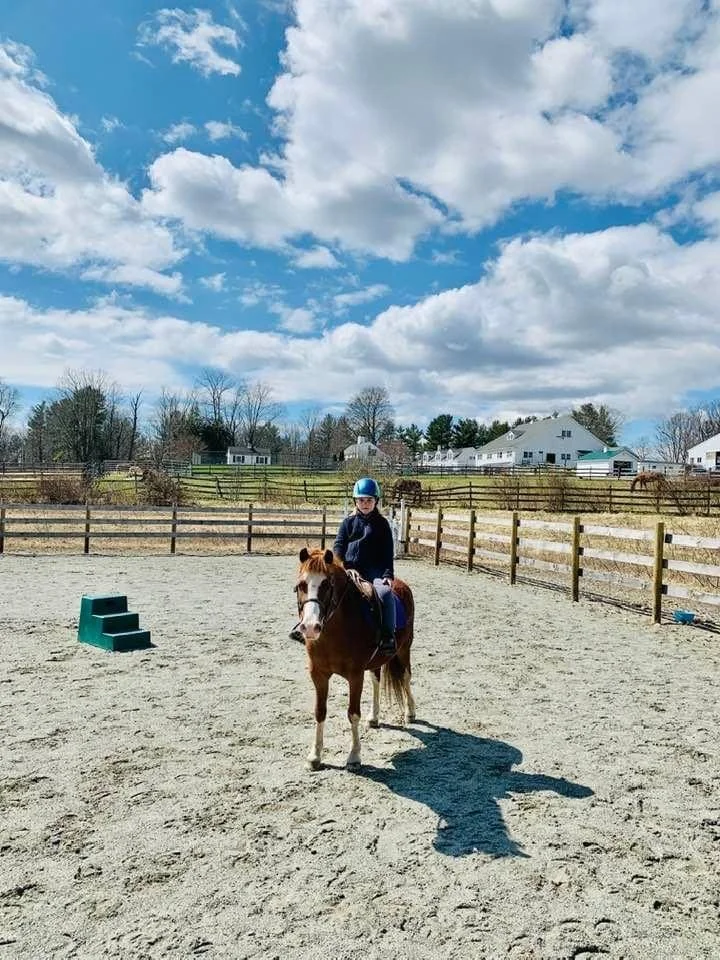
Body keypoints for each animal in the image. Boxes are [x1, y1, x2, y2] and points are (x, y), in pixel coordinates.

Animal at [293, 547, 415, 770]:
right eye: (301, 585)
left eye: (327, 584)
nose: (310, 627)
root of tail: (400, 584)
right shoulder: (318, 674)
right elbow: (319, 712)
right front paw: (315, 756)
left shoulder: (355, 675)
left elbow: (352, 713)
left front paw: (354, 756)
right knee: (376, 680)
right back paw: (374, 717)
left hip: (404, 649)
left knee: (405, 677)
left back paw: (410, 713)